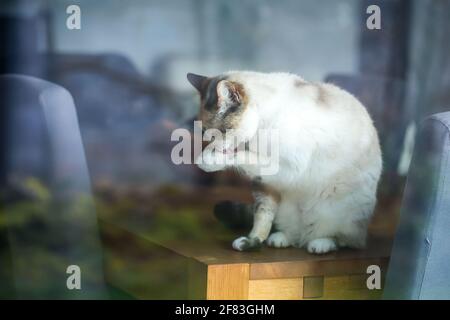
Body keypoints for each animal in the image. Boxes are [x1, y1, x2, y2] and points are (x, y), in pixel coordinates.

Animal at [186, 71, 380, 254]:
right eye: (203, 132)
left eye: (217, 133)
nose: (211, 144)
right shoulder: (264, 182)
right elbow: (262, 215)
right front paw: (252, 241)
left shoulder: (289, 168)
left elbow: (243, 155)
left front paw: (207, 159)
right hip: (287, 211)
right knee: (295, 235)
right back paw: (280, 239)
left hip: (336, 211)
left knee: (343, 240)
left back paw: (320, 244)